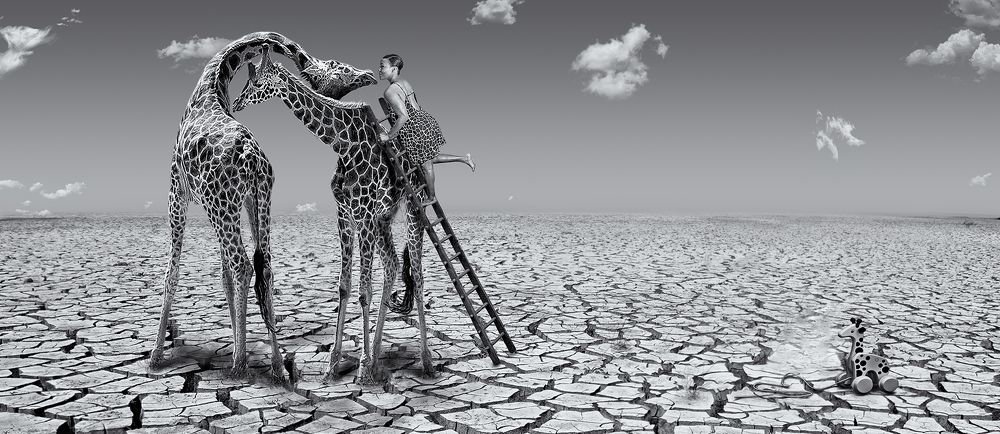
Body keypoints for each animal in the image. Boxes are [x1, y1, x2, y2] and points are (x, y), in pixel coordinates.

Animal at [151, 31, 377, 380]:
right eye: (339, 68)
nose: (369, 76)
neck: (211, 86)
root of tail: (251, 157)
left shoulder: (177, 192)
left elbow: (172, 272)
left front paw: (156, 356)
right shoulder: (237, 201)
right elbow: (224, 276)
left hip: (221, 205)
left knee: (243, 265)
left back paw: (240, 364)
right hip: (255, 200)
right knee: (263, 268)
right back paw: (277, 366)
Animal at [233, 49, 435, 382]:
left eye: (259, 82)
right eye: (247, 80)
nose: (236, 103)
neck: (344, 144)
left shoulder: (363, 214)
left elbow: (364, 290)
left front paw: (362, 368)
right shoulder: (345, 214)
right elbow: (344, 286)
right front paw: (334, 365)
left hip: (413, 208)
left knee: (417, 276)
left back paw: (426, 362)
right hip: (384, 217)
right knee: (393, 266)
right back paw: (378, 356)